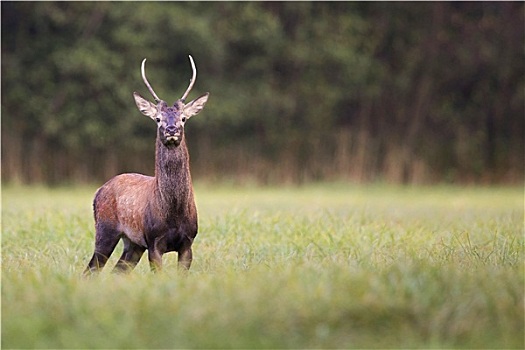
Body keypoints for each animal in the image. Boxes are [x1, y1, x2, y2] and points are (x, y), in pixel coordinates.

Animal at [84, 54, 209, 274]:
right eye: (158, 118)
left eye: (183, 118)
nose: (171, 129)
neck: (173, 214)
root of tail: (98, 191)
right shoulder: (153, 241)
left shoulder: (188, 242)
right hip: (105, 229)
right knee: (91, 269)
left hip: (133, 243)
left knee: (118, 270)